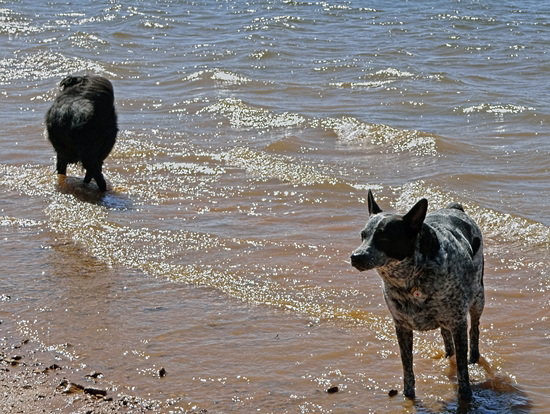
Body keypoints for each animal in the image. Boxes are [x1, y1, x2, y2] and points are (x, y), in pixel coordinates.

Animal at [352, 192, 486, 402]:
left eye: (384, 237)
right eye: (363, 236)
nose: (355, 256)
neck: (411, 278)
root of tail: (455, 208)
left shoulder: (458, 322)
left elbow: (462, 369)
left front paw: (465, 396)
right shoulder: (402, 326)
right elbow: (407, 366)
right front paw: (409, 395)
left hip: (478, 298)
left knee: (475, 329)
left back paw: (473, 355)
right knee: (446, 335)